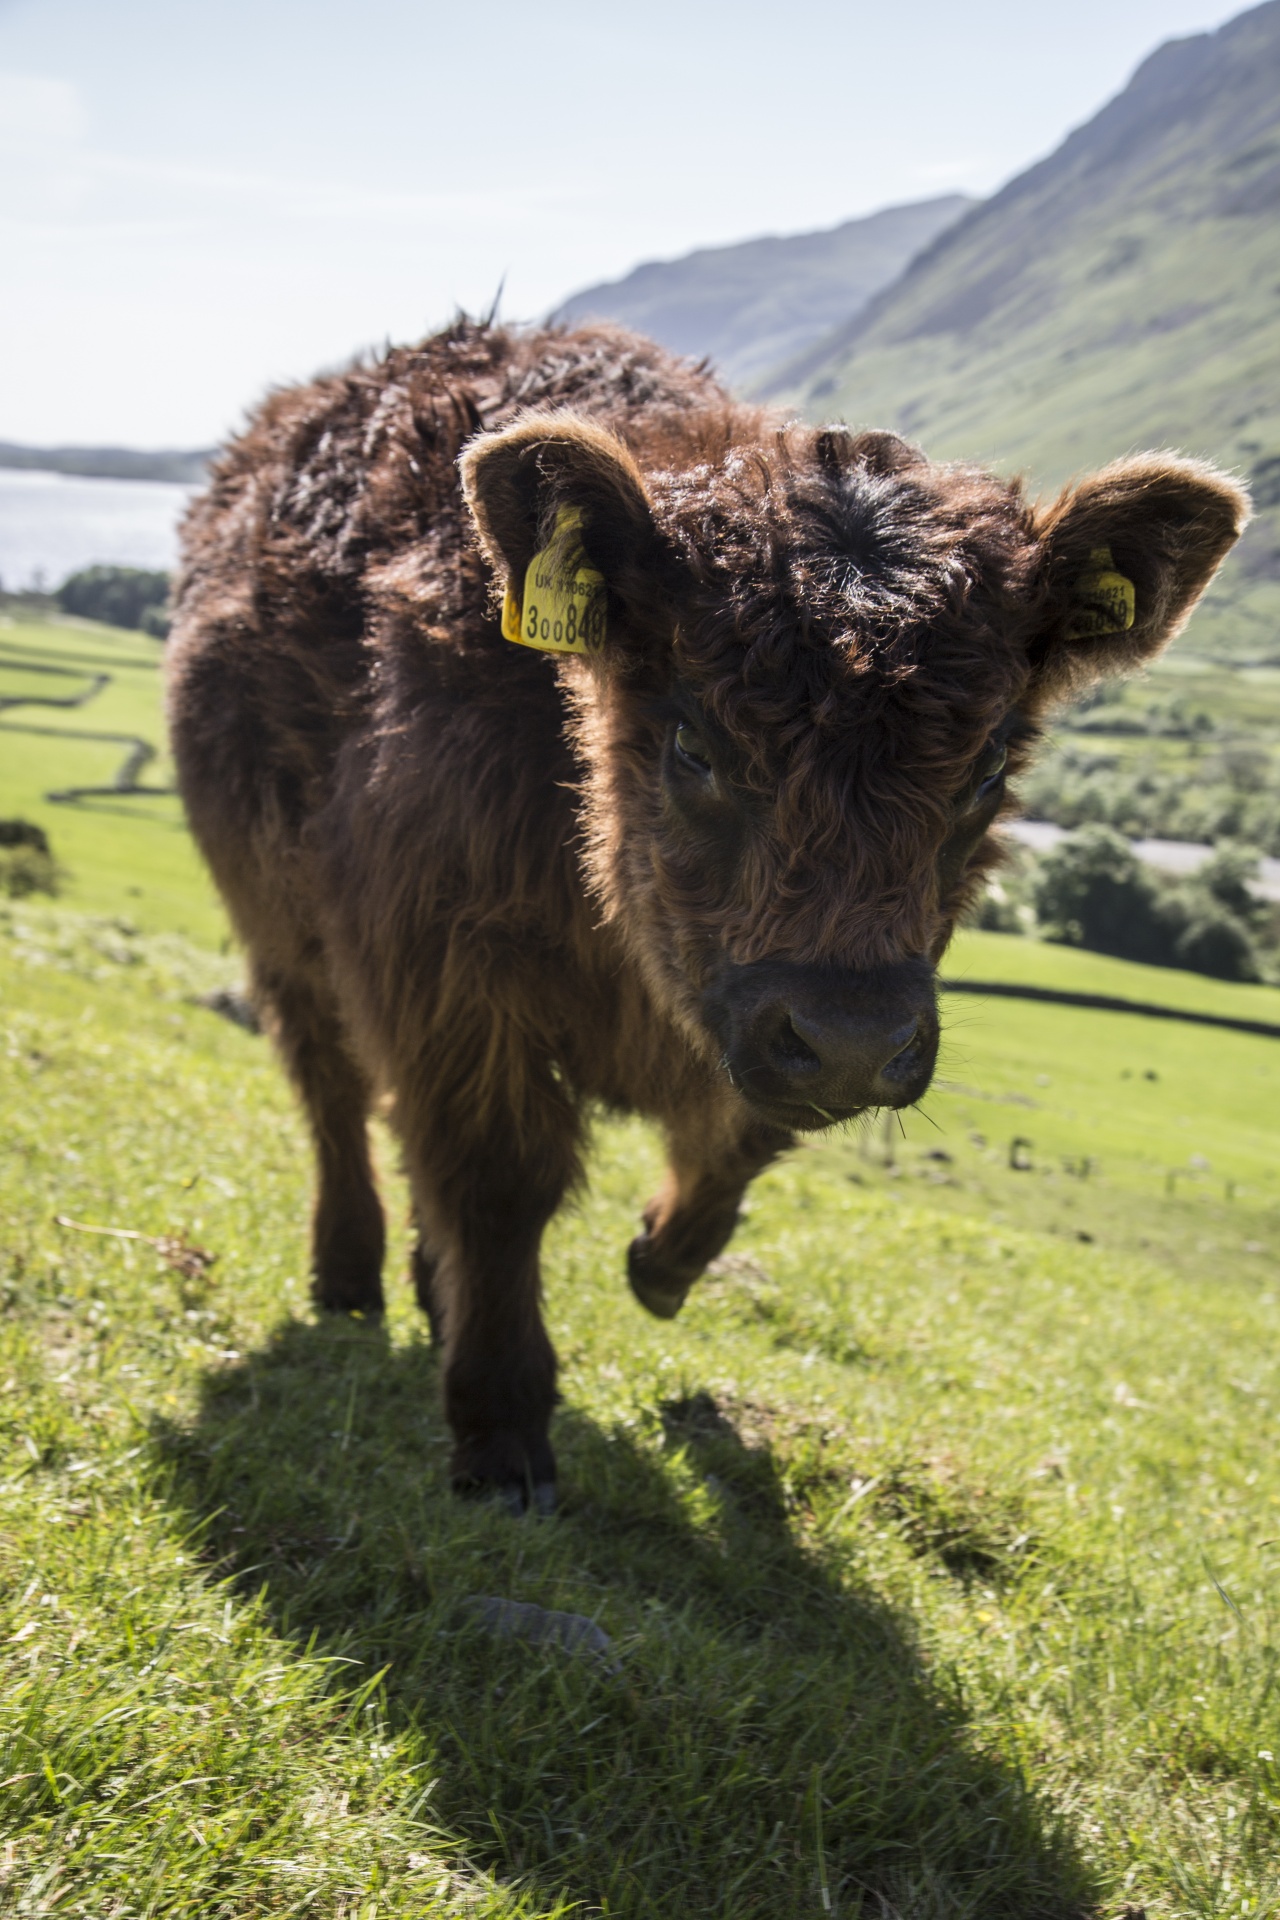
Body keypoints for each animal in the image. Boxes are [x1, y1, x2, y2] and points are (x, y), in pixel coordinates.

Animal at [169, 322, 1251, 1505]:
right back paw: (350, 1272)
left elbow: (739, 1142)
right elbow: (497, 1179)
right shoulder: (444, 969)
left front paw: (658, 1259)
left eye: (986, 771)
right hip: (280, 925)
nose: (849, 1038)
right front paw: (501, 1431)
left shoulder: (764, 1028)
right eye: (694, 744)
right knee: (330, 1089)